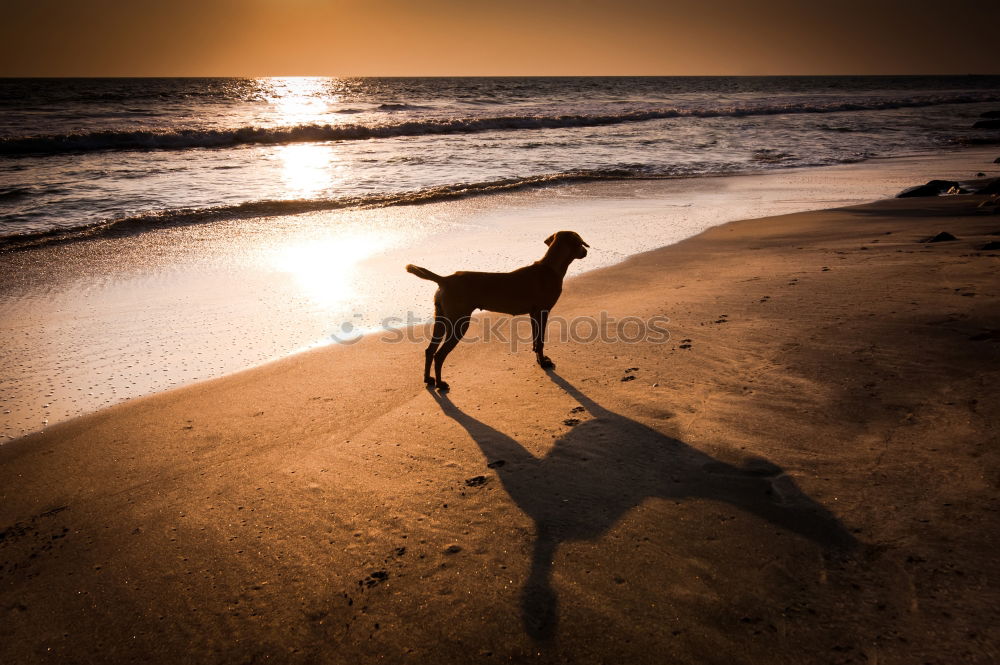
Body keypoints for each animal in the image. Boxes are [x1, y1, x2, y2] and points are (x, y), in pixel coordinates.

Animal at [408, 232, 584, 390]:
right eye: (581, 243)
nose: (586, 252)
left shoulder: (533, 313)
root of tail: (445, 279)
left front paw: (539, 358)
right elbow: (540, 341)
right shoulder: (542, 311)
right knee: (439, 355)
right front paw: (543, 362)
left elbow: (536, 340)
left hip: (441, 318)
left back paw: (428, 379)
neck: (550, 268)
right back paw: (440, 384)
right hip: (458, 323)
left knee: (429, 350)